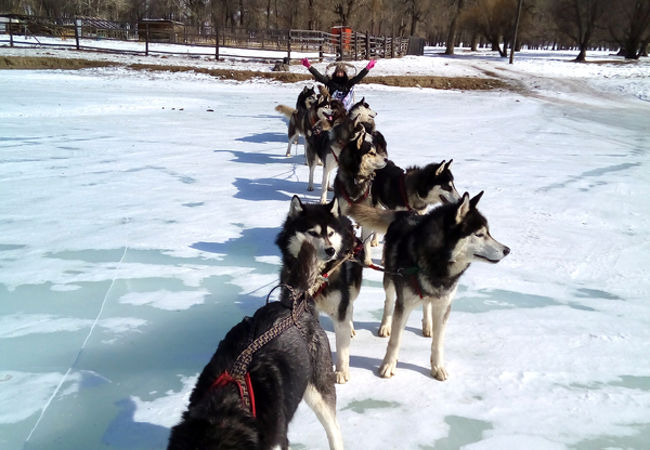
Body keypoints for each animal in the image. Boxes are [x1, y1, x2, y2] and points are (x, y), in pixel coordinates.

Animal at [274, 197, 364, 384]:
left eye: (330, 233)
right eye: (313, 233)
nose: (331, 250)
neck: (316, 275)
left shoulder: (340, 307)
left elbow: (342, 346)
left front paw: (341, 371)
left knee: (350, 305)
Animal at [346, 192, 508, 382]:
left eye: (488, 232)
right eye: (479, 234)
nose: (507, 250)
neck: (436, 265)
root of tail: (406, 214)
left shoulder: (444, 305)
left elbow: (438, 342)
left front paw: (437, 367)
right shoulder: (404, 305)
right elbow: (395, 340)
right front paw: (388, 365)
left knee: (426, 304)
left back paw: (427, 325)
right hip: (390, 279)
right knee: (389, 301)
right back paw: (385, 325)